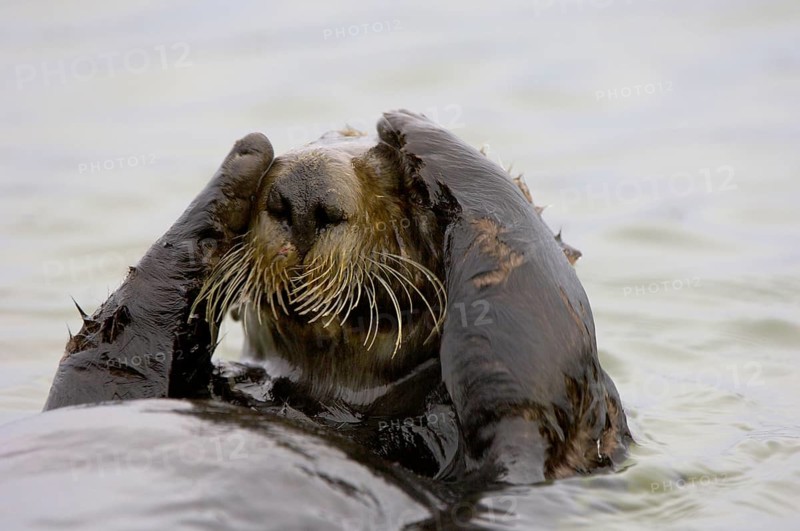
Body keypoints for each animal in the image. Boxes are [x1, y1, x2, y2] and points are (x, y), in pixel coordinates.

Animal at [43, 111, 631, 487]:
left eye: (406, 190)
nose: (305, 193)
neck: (333, 396)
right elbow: (109, 359)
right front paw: (242, 162)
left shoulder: (532, 448)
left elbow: (527, 395)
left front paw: (416, 128)